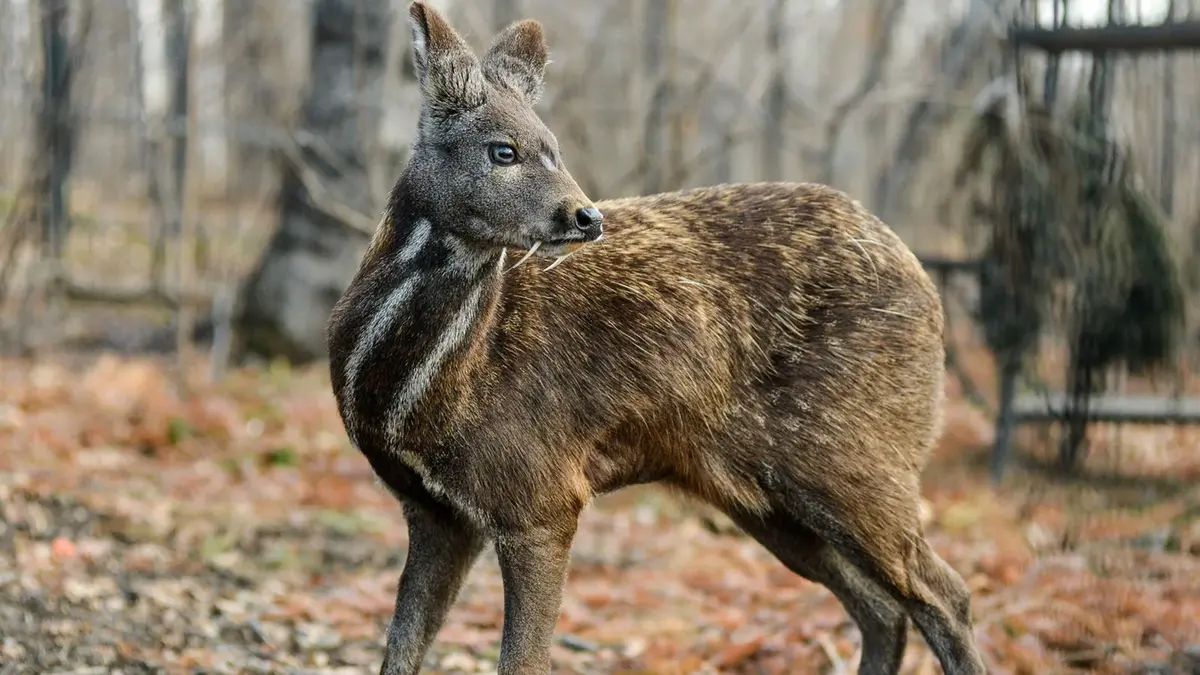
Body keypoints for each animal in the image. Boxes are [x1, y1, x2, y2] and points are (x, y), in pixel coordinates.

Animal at [326, 3, 989, 674]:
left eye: (553, 148)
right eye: (503, 150)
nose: (586, 216)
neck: (424, 395)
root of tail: (927, 287)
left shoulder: (542, 494)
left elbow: (523, 660)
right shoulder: (435, 512)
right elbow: (400, 650)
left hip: (855, 454)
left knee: (945, 593)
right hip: (767, 498)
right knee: (884, 609)